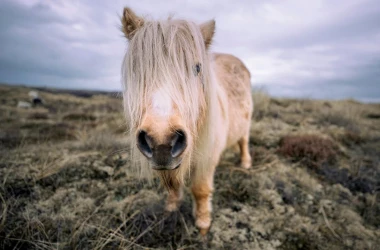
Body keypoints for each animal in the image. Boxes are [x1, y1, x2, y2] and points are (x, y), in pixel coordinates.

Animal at [121, 6, 252, 235]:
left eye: (197, 68)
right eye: (137, 68)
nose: (162, 140)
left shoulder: (208, 158)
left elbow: (200, 189)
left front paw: (203, 224)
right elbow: (173, 188)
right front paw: (171, 209)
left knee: (243, 141)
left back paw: (245, 163)